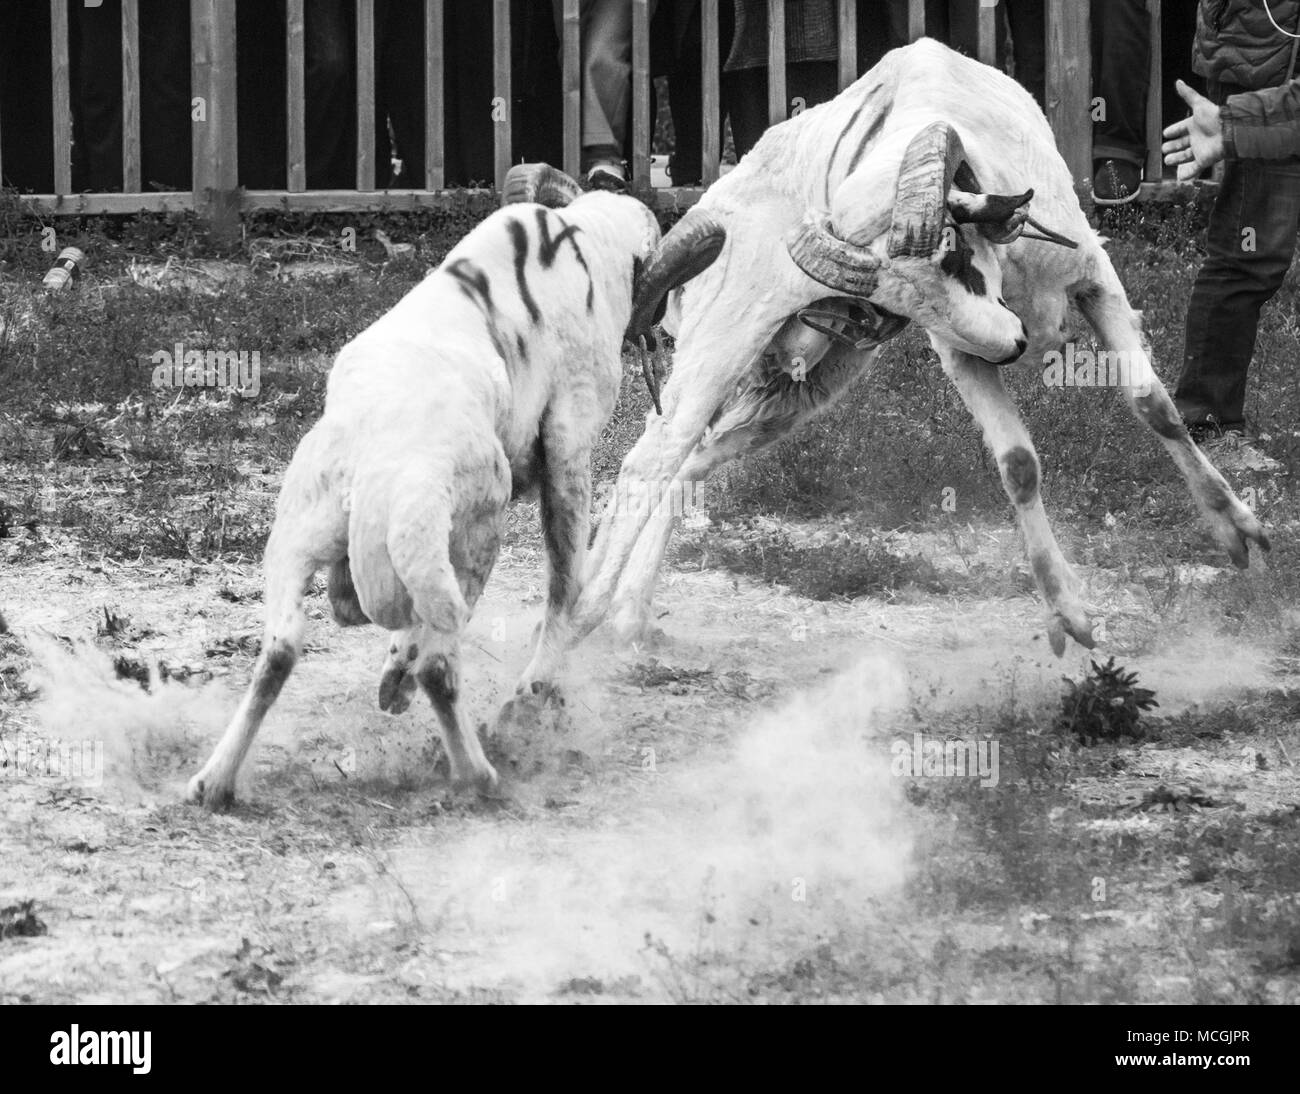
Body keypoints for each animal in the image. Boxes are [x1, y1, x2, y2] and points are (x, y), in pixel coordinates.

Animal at [187, 166, 717, 805]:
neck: (586, 240)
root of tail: (381, 474)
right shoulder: (570, 442)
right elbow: (566, 583)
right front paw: (528, 695)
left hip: (297, 534)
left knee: (281, 648)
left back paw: (213, 782)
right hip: (471, 536)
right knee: (439, 663)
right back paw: (477, 772)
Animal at [577, 40, 1268, 647]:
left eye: (954, 253)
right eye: (902, 302)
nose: (1015, 348)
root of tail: (709, 207)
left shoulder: (1093, 276)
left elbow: (1153, 407)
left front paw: (1240, 534)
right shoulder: (960, 348)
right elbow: (1019, 464)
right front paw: (1070, 614)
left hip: (801, 382)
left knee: (689, 462)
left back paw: (629, 614)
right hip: (722, 347)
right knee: (650, 461)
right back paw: (586, 611)